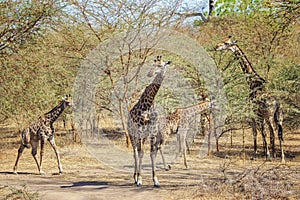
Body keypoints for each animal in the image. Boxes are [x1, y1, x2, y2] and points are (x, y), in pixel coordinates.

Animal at [127, 55, 172, 188]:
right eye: (153, 64)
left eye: (161, 65)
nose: (149, 73)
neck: (148, 104)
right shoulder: (140, 131)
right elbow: (141, 153)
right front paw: (140, 180)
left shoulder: (152, 132)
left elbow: (152, 153)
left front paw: (156, 180)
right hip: (132, 134)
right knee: (135, 152)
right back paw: (135, 177)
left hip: (144, 136)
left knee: (139, 151)